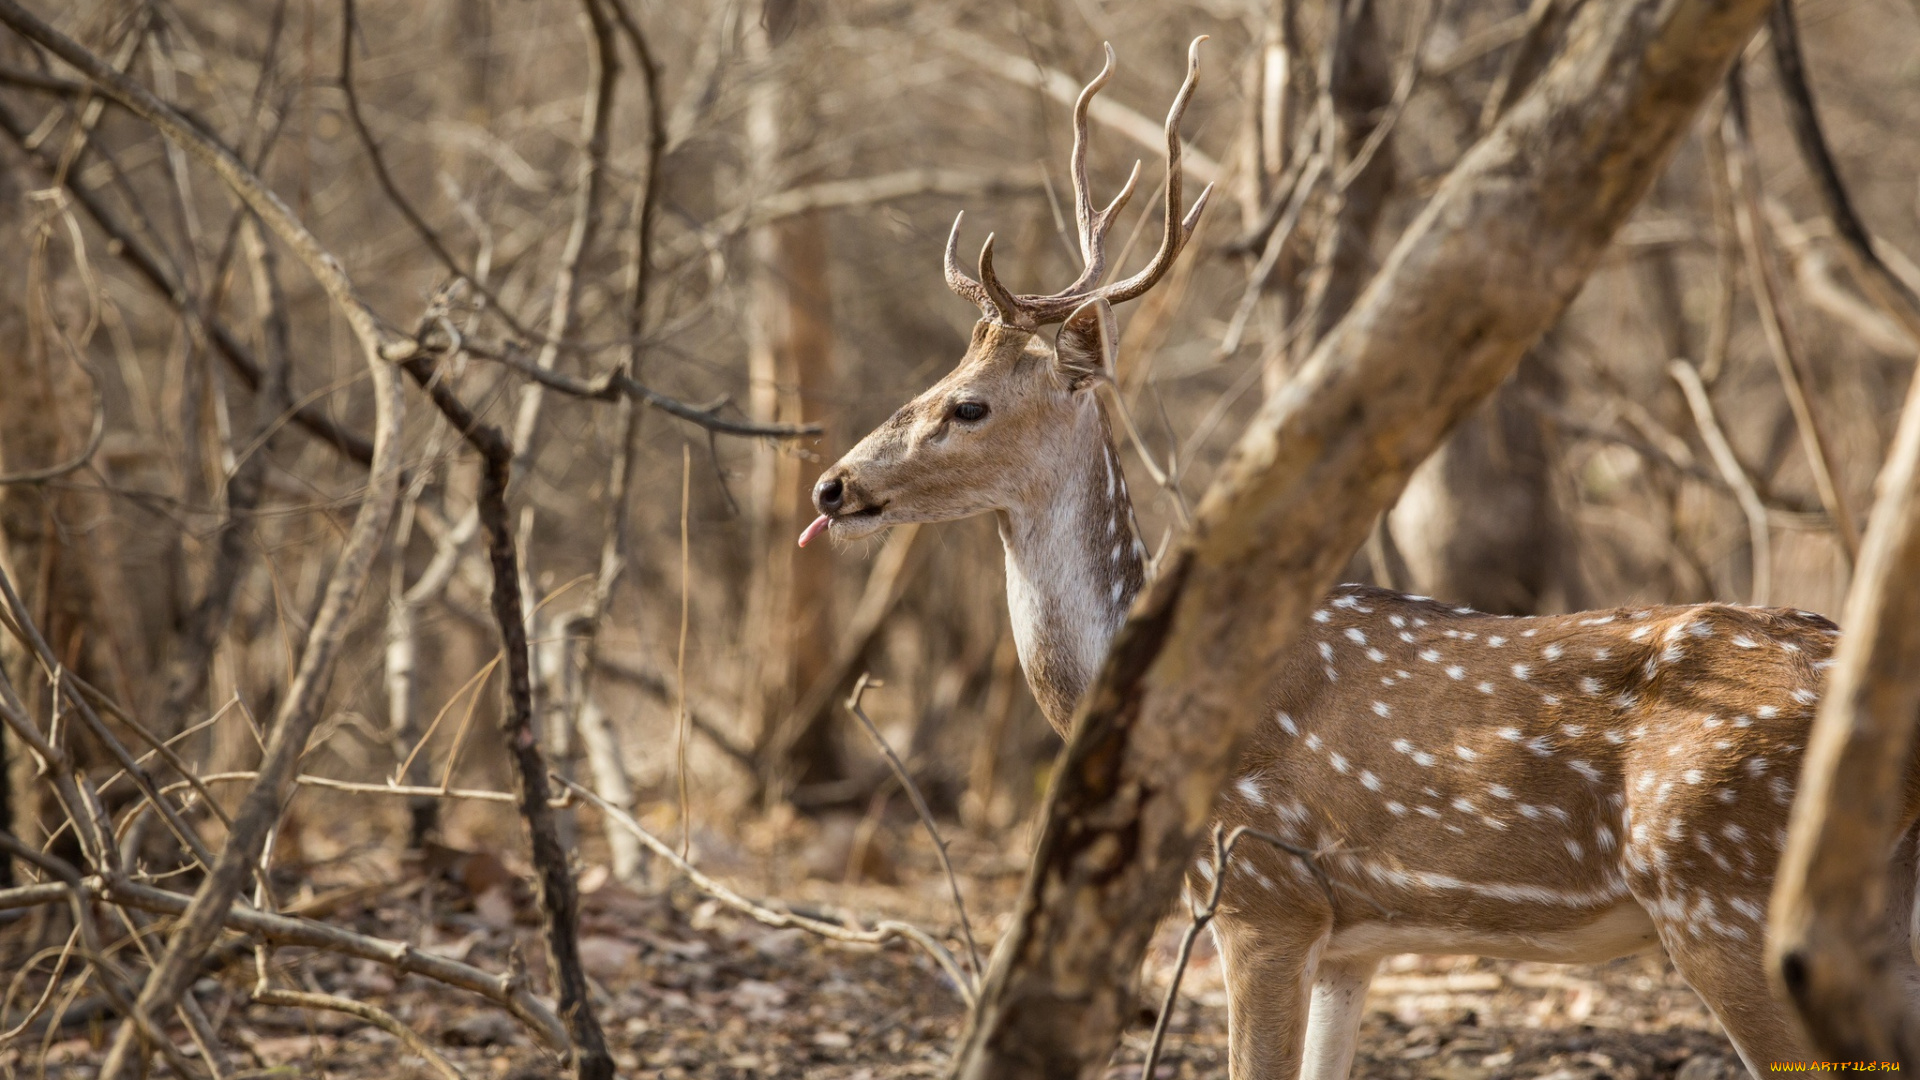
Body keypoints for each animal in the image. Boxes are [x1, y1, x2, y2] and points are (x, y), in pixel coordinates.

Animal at [798, 37, 1920, 1068]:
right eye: (937, 379)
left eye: (968, 404)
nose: (833, 487)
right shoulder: (1355, 943)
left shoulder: (1262, 892)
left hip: (1723, 894)